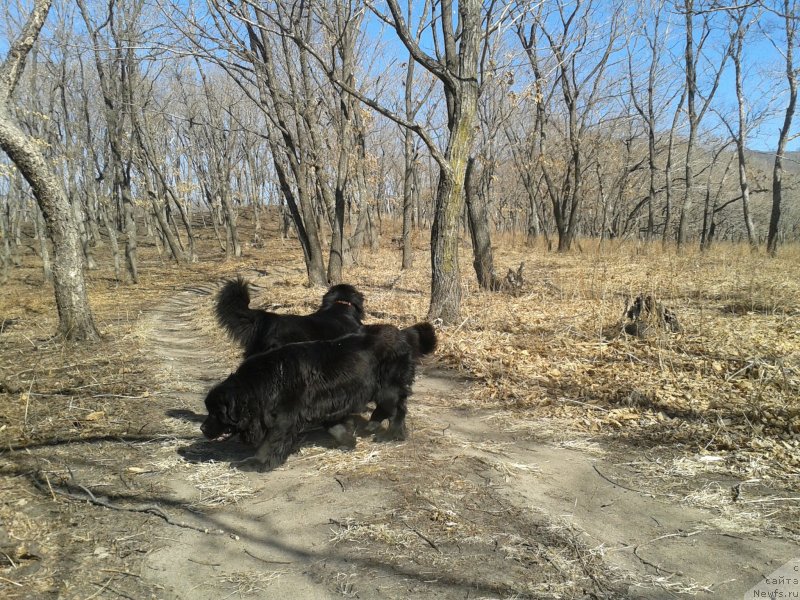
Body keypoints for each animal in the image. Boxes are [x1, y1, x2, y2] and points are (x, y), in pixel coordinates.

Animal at [200, 322, 438, 472]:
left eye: (216, 413)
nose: (202, 428)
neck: (264, 384)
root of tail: (402, 334)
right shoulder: (327, 404)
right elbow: (335, 427)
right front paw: (347, 442)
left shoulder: (284, 418)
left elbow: (271, 441)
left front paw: (256, 463)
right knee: (398, 408)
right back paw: (387, 431)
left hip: (387, 388)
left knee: (394, 409)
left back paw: (386, 433)